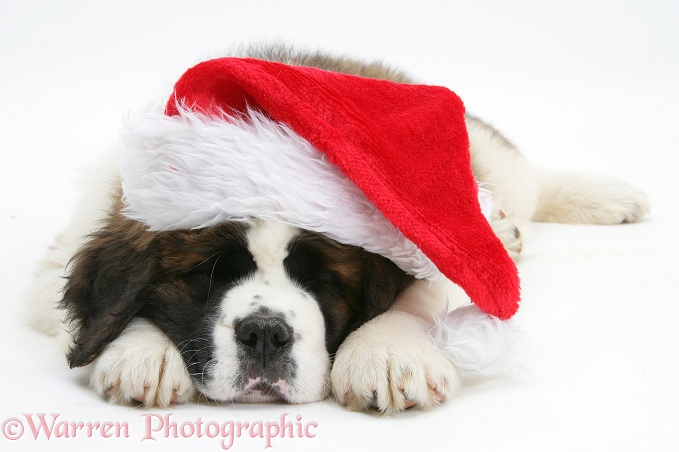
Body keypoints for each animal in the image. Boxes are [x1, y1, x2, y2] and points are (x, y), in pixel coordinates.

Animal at [27, 45, 652, 414]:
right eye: (209, 274)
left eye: (324, 281)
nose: (265, 335)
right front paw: (143, 350)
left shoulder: (430, 236)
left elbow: (420, 290)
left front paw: (387, 351)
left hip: (483, 159)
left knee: (528, 184)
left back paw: (588, 203)